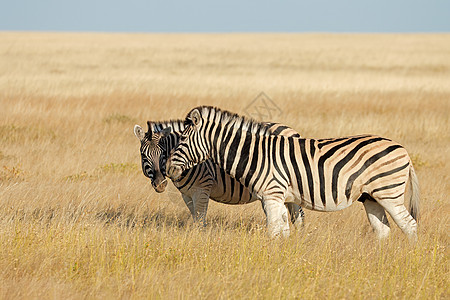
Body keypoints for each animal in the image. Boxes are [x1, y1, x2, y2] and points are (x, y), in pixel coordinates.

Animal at [134, 119, 306, 225]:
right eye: (143, 155)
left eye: (163, 153)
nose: (160, 185)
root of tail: (292, 130)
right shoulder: (187, 195)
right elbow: (195, 218)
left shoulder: (202, 189)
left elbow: (200, 222)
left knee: (299, 217)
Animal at [167, 106, 420, 240]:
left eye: (183, 140)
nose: (169, 169)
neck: (255, 153)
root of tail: (403, 149)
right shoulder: (278, 198)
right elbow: (283, 231)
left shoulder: (272, 195)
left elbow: (273, 231)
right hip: (371, 197)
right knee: (383, 230)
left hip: (389, 193)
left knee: (410, 226)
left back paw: (410, 259)